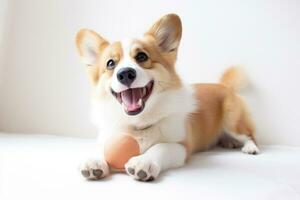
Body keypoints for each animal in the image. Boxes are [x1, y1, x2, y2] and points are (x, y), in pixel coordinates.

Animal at [75, 13, 258, 180]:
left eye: (142, 56)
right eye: (110, 63)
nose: (125, 74)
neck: (138, 124)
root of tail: (225, 86)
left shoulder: (181, 146)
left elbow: (160, 147)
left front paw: (143, 162)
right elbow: (102, 147)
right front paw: (93, 160)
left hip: (232, 122)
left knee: (249, 134)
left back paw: (250, 147)